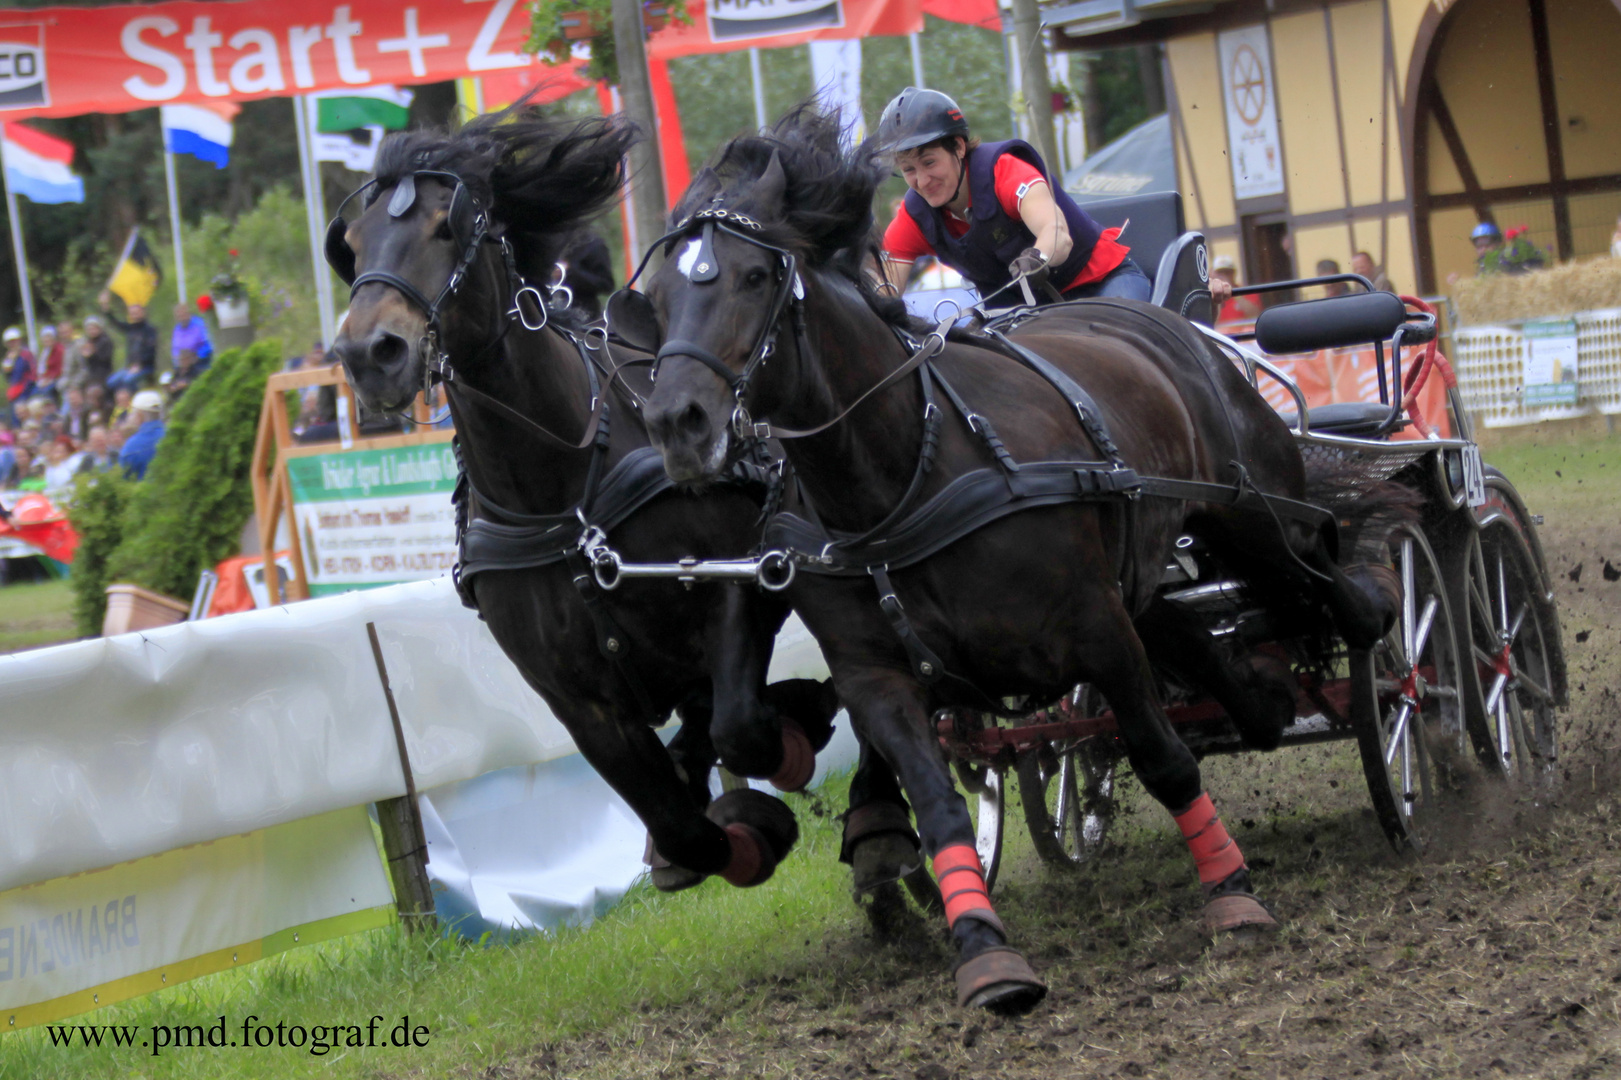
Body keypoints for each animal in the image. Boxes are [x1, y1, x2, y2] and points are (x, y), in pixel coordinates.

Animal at [324, 109, 849, 895]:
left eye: (447, 228)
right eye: (353, 244)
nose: (368, 354)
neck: (564, 498)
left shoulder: (738, 582)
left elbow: (742, 725)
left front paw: (796, 727)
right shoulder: (575, 700)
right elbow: (681, 825)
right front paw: (734, 833)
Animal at [632, 109, 1407, 1011]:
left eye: (754, 277)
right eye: (656, 297)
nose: (676, 423)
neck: (904, 471)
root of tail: (1179, 328)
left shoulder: (1094, 627)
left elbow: (1163, 758)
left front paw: (1232, 892)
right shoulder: (877, 675)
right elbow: (938, 804)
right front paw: (981, 947)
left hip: (1249, 509)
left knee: (1317, 578)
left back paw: (1383, 634)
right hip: (1150, 569)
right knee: (1203, 642)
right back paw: (1266, 697)